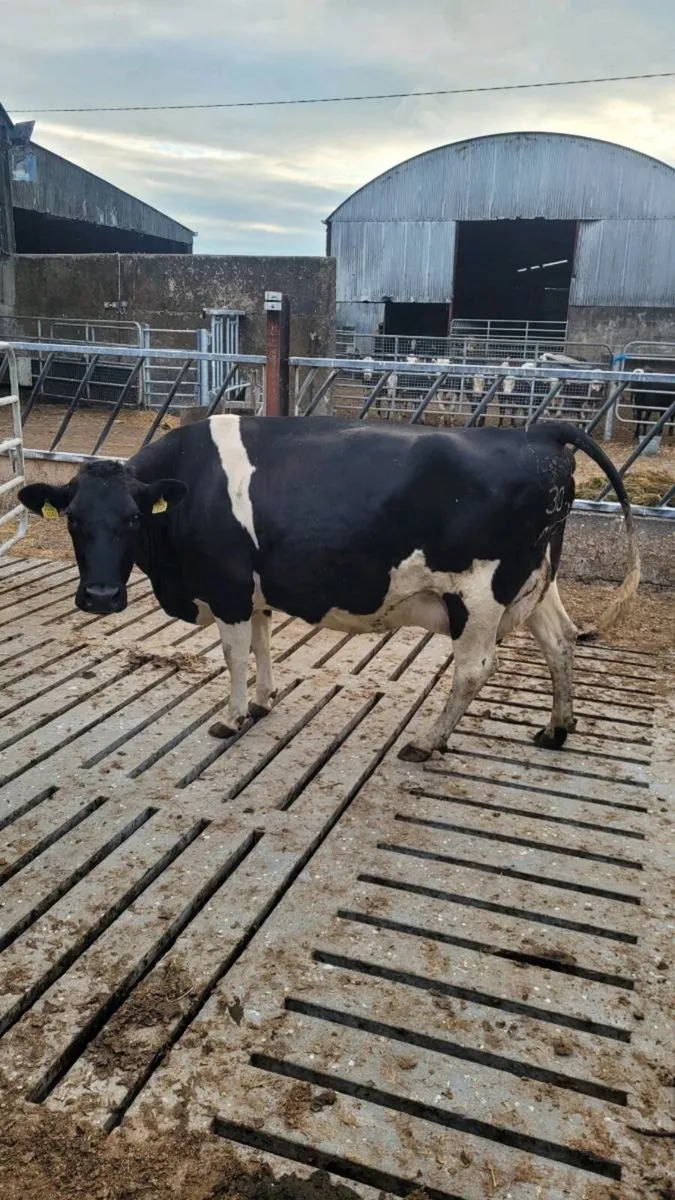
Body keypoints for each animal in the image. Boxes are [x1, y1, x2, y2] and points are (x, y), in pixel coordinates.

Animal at [18, 417, 639, 763]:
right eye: (73, 520)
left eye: (131, 520)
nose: (101, 597)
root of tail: (540, 432)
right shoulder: (254, 590)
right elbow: (262, 644)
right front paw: (264, 702)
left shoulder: (226, 586)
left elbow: (234, 655)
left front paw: (232, 717)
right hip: (536, 583)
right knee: (560, 643)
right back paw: (556, 729)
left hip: (481, 593)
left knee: (473, 669)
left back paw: (428, 742)